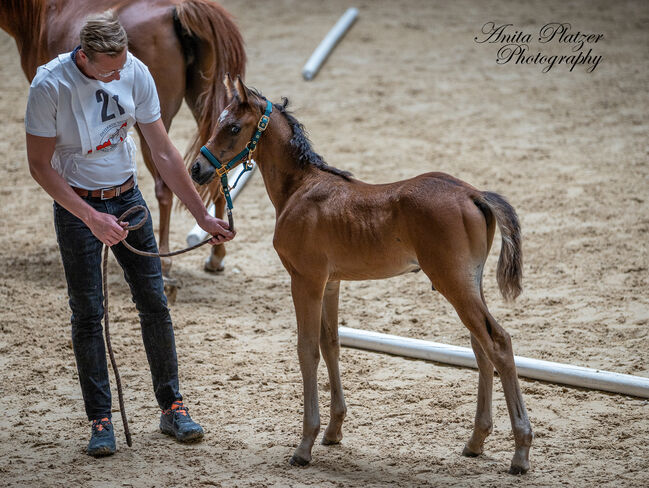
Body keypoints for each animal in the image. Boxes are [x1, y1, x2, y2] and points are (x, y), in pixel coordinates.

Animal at [190, 75, 536, 472]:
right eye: (218, 121)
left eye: (233, 127)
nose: (197, 169)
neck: (300, 188)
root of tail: (475, 194)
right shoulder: (331, 283)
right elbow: (331, 344)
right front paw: (333, 431)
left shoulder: (305, 280)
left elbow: (306, 349)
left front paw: (305, 445)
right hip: (467, 284)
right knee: (481, 349)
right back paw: (476, 441)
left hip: (454, 283)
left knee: (498, 343)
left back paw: (521, 451)